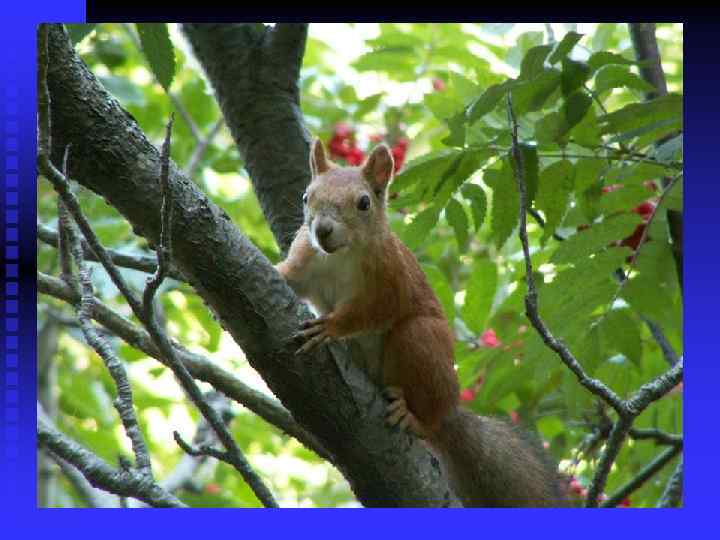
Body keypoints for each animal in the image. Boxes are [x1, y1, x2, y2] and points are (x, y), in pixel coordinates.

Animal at [276, 139, 567, 507]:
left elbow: (368, 313)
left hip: (420, 341)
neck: (339, 256)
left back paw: (413, 415)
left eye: (364, 203)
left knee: (427, 414)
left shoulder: (390, 280)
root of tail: (450, 408)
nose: (322, 230)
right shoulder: (306, 261)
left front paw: (331, 326)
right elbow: (288, 276)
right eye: (306, 197)